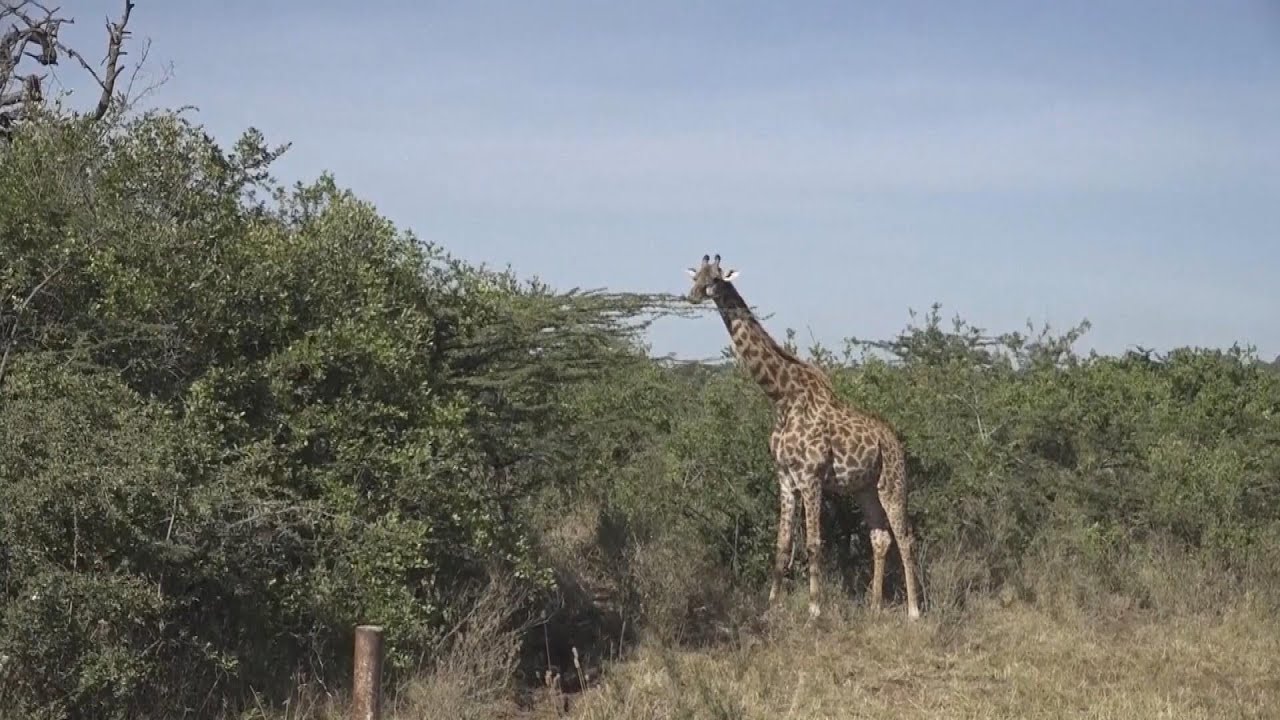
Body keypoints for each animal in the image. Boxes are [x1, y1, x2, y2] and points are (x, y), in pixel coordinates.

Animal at [684, 253, 921, 620]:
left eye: (715, 279)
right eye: (695, 276)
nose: (693, 295)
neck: (782, 397)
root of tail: (896, 444)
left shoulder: (811, 477)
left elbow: (812, 545)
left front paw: (814, 610)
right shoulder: (784, 477)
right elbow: (782, 546)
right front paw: (771, 607)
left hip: (893, 484)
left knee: (905, 538)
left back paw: (913, 612)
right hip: (865, 487)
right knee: (880, 537)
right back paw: (873, 606)